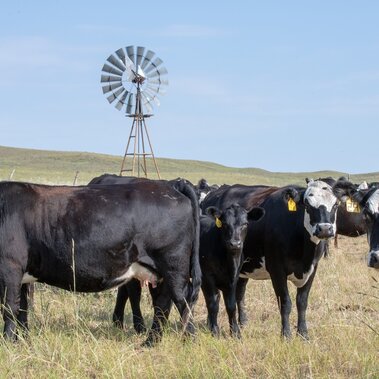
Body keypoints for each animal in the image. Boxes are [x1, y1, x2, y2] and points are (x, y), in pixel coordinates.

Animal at [0, 180, 202, 346]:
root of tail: (171, 185)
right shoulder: (22, 275)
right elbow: (22, 309)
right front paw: (22, 341)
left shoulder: (10, 267)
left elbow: (9, 308)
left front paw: (8, 344)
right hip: (161, 273)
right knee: (162, 304)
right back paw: (151, 342)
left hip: (173, 266)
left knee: (182, 300)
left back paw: (189, 340)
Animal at [200, 205, 266, 338]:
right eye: (224, 224)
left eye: (245, 224)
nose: (235, 243)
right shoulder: (207, 277)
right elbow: (213, 303)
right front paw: (215, 331)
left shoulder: (233, 278)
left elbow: (231, 305)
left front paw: (235, 332)